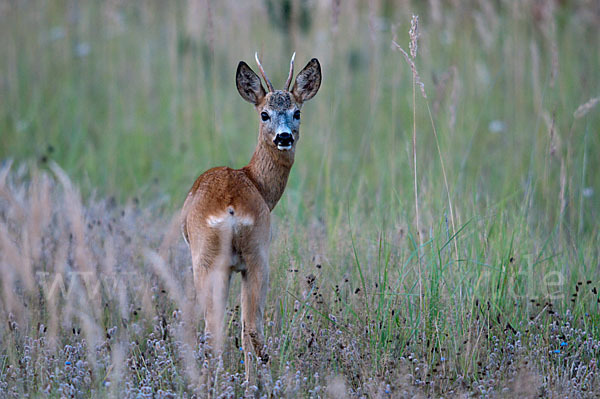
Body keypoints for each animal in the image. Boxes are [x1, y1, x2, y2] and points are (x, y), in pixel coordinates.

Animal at [180, 54, 322, 388]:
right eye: (264, 114)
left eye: (297, 112)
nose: (283, 137)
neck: (255, 182)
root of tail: (231, 208)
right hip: (254, 256)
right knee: (249, 331)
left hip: (214, 259)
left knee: (220, 332)